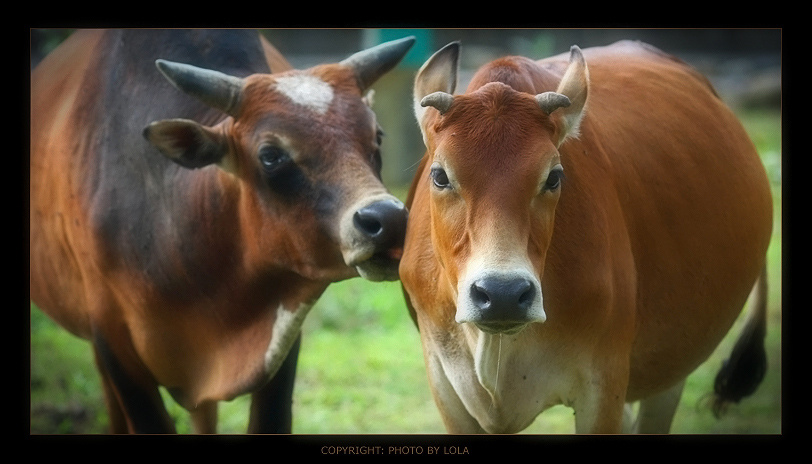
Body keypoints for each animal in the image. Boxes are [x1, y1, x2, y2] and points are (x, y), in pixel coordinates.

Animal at [399, 40, 773, 434]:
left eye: (554, 177)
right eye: (440, 175)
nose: (503, 294)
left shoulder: (604, 386)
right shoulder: (447, 389)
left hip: (672, 368)